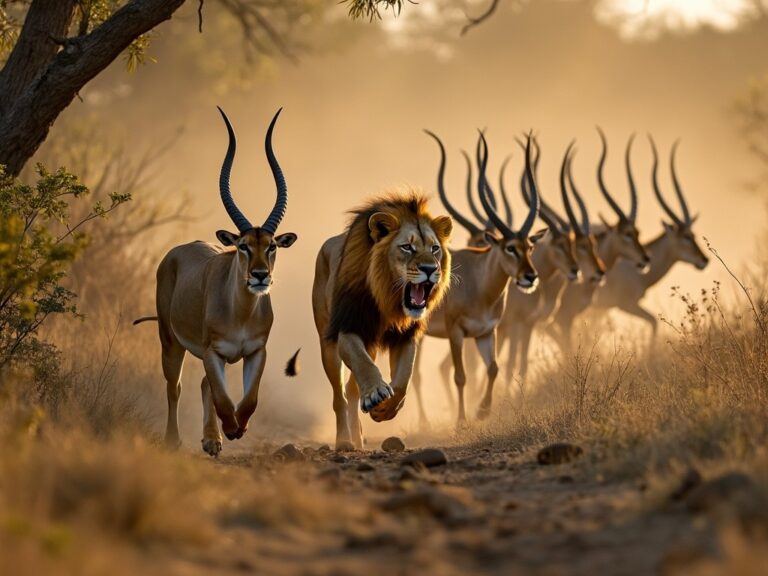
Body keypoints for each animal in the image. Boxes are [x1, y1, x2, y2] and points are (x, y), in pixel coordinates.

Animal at [135, 108, 296, 456]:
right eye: (243, 245)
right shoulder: (213, 352)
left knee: (203, 384)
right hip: (170, 340)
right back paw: (176, 440)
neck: (241, 314)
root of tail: (177, 252)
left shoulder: (255, 351)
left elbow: (249, 399)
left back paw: (212, 440)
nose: (260, 275)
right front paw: (231, 429)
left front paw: (236, 429)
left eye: (272, 245)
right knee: (175, 385)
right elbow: (222, 397)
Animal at [312, 189, 452, 450]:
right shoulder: (348, 328)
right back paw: (344, 441)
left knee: (351, 389)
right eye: (407, 247)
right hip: (328, 344)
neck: (389, 298)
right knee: (339, 395)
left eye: (435, 248)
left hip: (371, 345)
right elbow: (364, 365)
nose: (430, 269)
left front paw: (384, 409)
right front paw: (376, 393)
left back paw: (358, 439)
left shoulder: (406, 336)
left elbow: (403, 378)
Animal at [414, 133, 544, 426]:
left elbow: (493, 368)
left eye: (530, 246)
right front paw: (462, 421)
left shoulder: (487, 332)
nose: (530, 276)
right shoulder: (456, 332)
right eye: (510, 247)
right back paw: (424, 422)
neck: (480, 289)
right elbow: (461, 376)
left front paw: (482, 411)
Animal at [592, 137, 712, 340]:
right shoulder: (625, 305)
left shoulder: (603, 310)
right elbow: (654, 322)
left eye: (693, 234)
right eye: (686, 236)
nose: (704, 260)